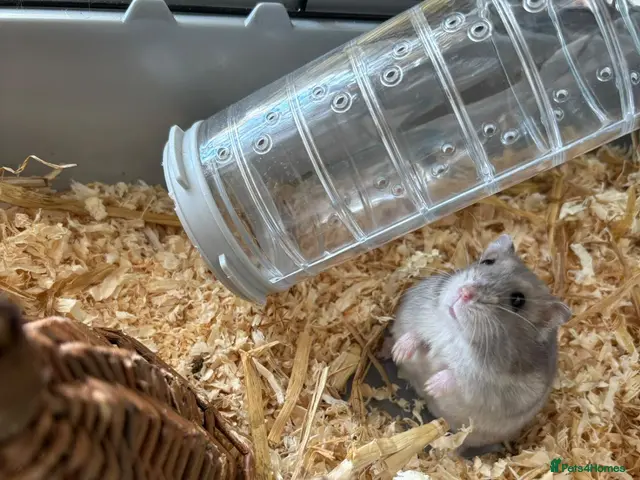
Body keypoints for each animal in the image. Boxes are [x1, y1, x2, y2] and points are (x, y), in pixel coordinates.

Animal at [390, 234, 571, 458]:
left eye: (518, 299)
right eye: (487, 262)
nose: (465, 293)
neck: (457, 332)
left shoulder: (482, 387)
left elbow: (458, 378)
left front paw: (431, 385)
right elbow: (416, 336)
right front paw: (398, 352)